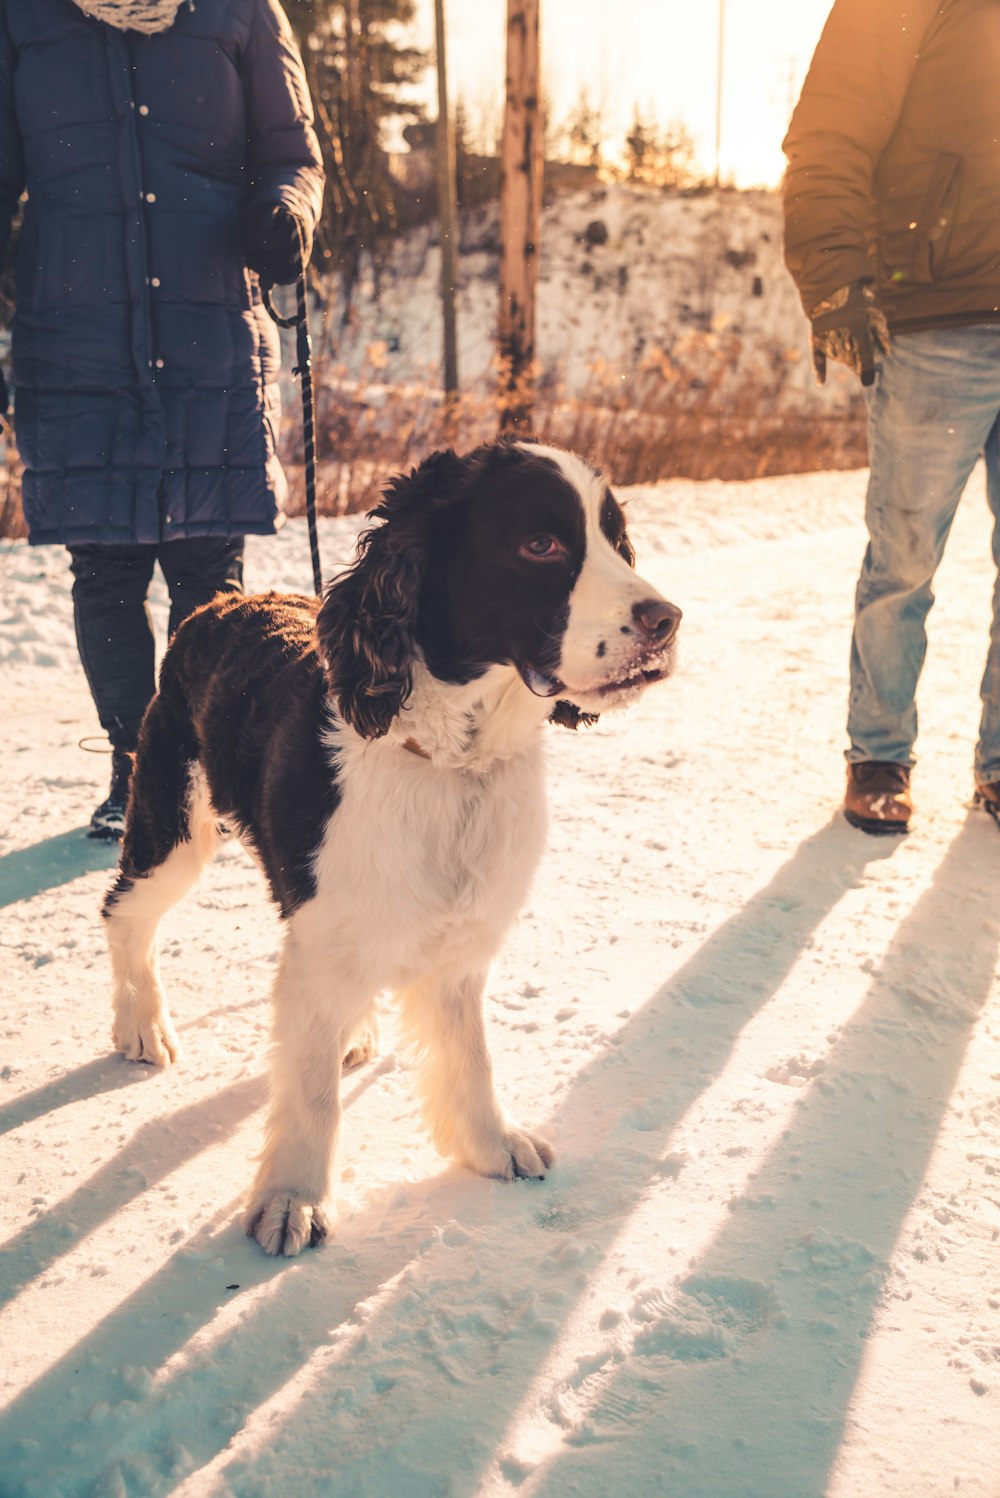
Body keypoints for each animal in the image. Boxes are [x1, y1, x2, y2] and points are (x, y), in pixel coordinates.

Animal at [103, 440, 679, 1252]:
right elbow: (312, 1090)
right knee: (125, 913)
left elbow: (470, 1054)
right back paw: (142, 1025)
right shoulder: (326, 933)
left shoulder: (457, 942)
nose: (667, 621)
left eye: (615, 539)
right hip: (174, 821)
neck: (453, 763)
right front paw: (293, 1199)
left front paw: (492, 1146)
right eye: (541, 544)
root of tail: (218, 606)